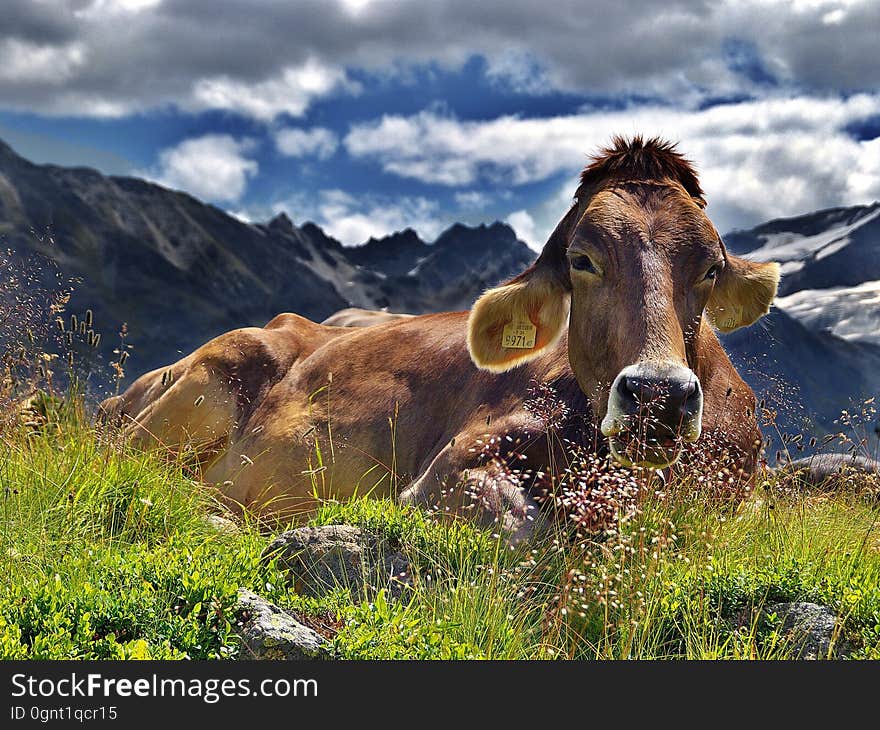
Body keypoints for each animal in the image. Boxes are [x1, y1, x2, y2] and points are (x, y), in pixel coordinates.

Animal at [99, 136, 780, 536]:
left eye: (711, 267)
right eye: (583, 259)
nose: (658, 396)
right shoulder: (448, 469)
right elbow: (522, 527)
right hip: (207, 381)